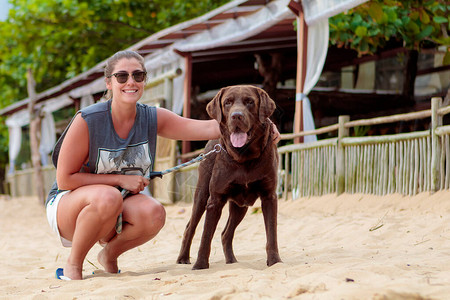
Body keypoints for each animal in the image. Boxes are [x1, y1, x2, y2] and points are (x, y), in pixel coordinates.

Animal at [176, 84, 282, 270]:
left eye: (249, 102)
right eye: (227, 102)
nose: (236, 116)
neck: (244, 157)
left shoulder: (269, 196)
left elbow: (271, 233)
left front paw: (275, 261)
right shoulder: (215, 200)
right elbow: (206, 236)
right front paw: (200, 265)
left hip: (241, 205)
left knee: (226, 233)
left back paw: (231, 261)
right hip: (202, 194)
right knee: (191, 227)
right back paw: (183, 258)